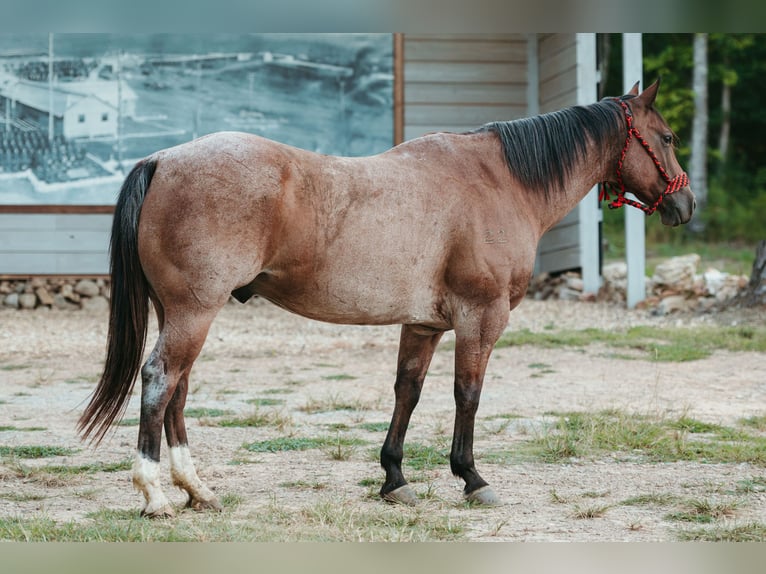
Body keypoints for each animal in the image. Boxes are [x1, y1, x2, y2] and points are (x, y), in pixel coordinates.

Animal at [78, 77, 696, 516]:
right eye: (667, 138)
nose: (685, 205)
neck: (500, 181)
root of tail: (163, 159)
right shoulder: (481, 318)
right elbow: (467, 395)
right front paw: (471, 478)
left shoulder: (423, 325)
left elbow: (408, 393)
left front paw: (394, 480)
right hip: (194, 312)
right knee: (159, 380)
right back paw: (155, 496)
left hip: (181, 313)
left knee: (177, 389)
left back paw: (197, 490)